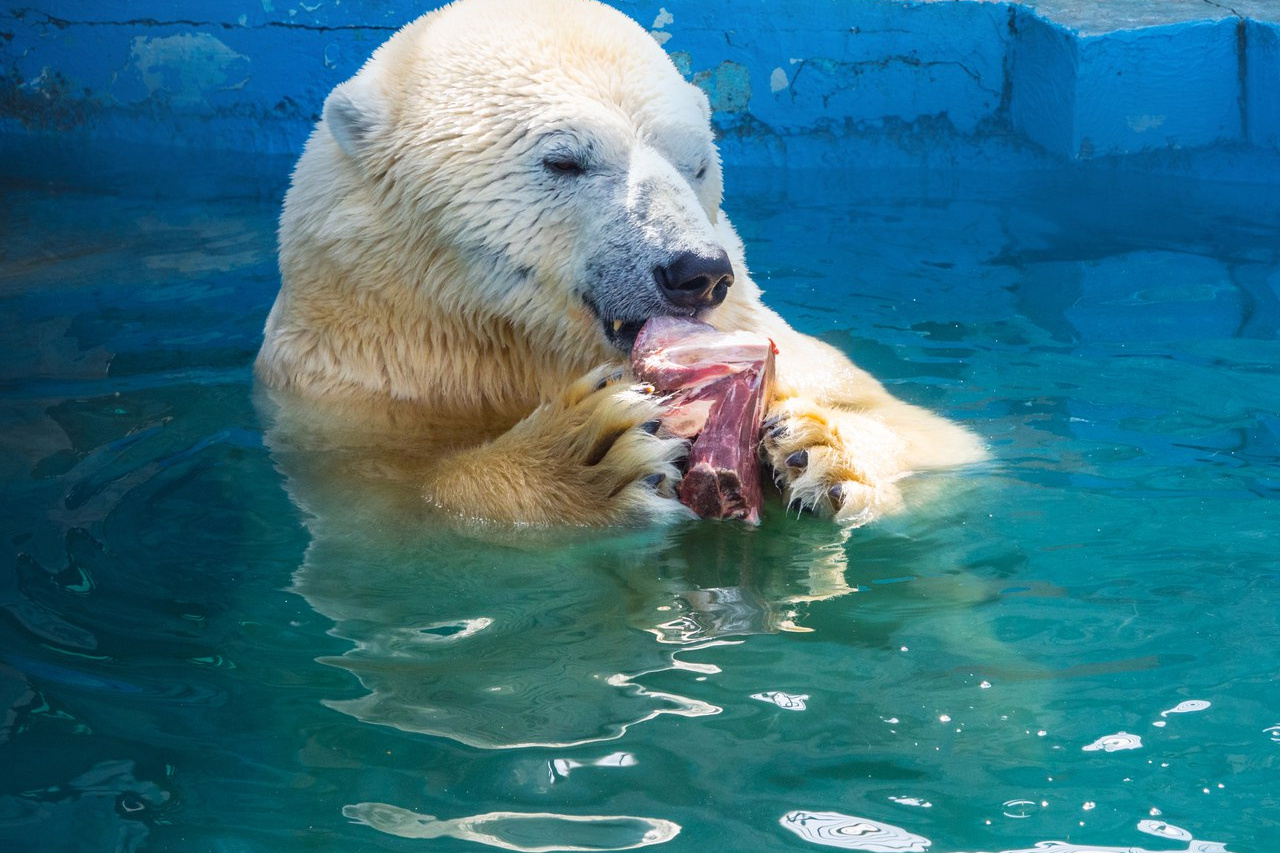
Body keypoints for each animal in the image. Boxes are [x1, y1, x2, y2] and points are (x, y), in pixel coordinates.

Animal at [254, 0, 983, 525]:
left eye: (698, 164)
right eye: (564, 160)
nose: (698, 272)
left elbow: (937, 441)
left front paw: (817, 448)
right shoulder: (355, 391)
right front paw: (587, 454)